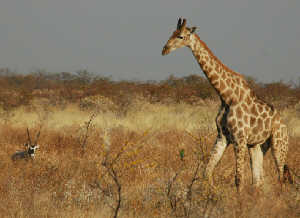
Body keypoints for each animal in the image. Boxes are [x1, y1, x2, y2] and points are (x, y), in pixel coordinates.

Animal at [163, 18, 292, 192]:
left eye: (181, 36)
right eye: (172, 33)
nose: (165, 49)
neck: (226, 96)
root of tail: (284, 124)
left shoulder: (239, 138)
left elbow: (238, 179)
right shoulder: (222, 136)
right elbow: (207, 172)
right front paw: (212, 194)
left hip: (279, 144)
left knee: (280, 177)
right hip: (258, 146)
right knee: (258, 180)